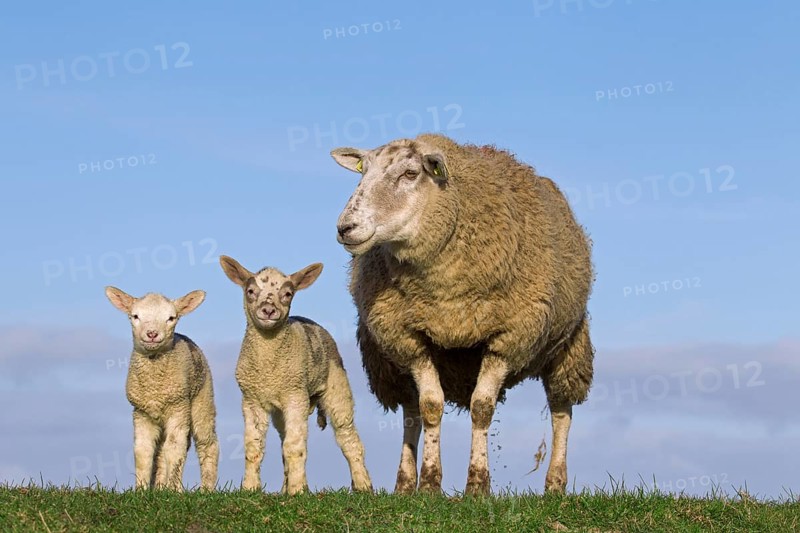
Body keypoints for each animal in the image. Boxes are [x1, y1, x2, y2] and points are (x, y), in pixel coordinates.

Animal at [104, 287, 219, 491]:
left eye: (171, 318)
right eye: (135, 316)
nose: (152, 334)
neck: (155, 387)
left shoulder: (178, 407)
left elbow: (175, 448)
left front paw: (174, 491)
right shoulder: (141, 413)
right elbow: (142, 451)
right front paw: (141, 490)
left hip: (202, 398)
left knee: (207, 443)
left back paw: (206, 489)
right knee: (161, 452)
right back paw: (160, 487)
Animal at [219, 255, 373, 495]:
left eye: (288, 294)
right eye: (250, 291)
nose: (268, 310)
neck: (268, 366)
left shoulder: (295, 395)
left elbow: (294, 447)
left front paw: (297, 490)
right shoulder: (251, 399)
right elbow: (254, 447)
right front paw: (250, 488)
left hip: (336, 387)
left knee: (347, 437)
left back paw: (363, 485)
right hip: (283, 410)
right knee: (285, 442)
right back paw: (286, 488)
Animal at [331, 133, 595, 496]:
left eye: (411, 173)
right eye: (363, 171)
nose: (345, 227)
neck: (447, 296)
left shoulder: (508, 338)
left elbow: (482, 408)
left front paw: (478, 485)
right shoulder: (409, 339)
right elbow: (429, 407)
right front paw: (429, 483)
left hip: (568, 345)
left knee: (561, 410)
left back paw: (555, 484)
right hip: (389, 358)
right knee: (410, 411)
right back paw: (404, 483)